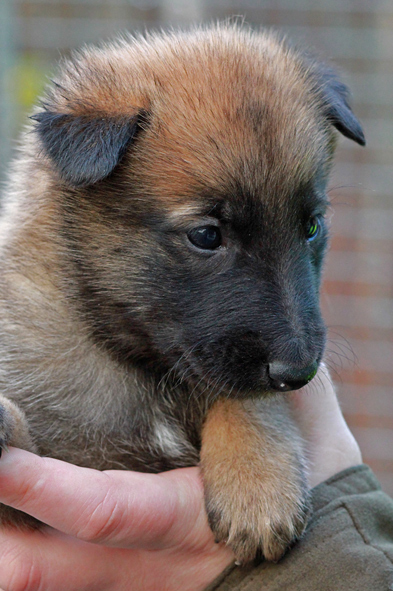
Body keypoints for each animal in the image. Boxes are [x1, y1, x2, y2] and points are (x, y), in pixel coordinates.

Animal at [0, 24, 362, 564]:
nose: (298, 372)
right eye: (207, 235)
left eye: (312, 227)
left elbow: (243, 394)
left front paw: (257, 477)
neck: (135, 364)